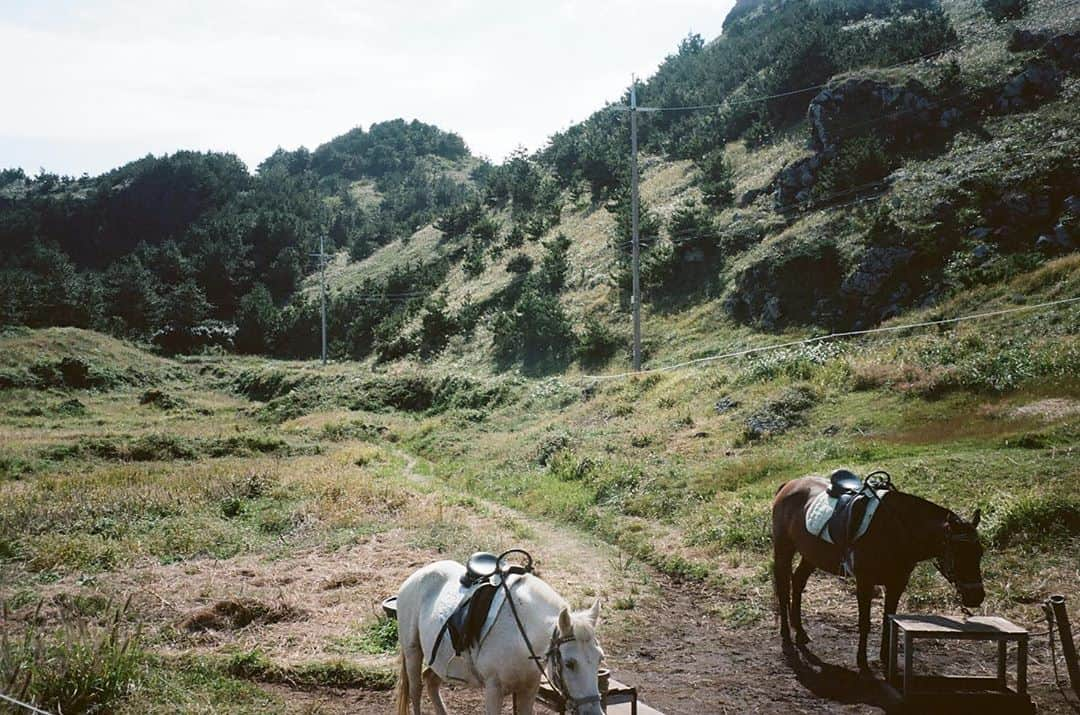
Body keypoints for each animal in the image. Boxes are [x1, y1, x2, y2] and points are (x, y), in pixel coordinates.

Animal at [395, 561, 604, 712]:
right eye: (569, 664)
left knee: (431, 681)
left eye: (600, 659)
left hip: (440, 661)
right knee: (416, 690)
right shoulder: (493, 690)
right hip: (413, 651)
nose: (593, 712)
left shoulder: (529, 690)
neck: (520, 635)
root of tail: (417, 574)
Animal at [773, 475, 984, 673]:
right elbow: (864, 622)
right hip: (784, 549)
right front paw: (862, 662)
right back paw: (786, 635)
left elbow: (888, 620)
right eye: (957, 554)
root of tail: (789, 485)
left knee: (798, 581)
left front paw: (885, 658)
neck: (897, 530)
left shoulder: (897, 584)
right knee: (783, 589)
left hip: (811, 555)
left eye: (980, 553)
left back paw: (800, 632)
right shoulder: (865, 583)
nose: (976, 597)